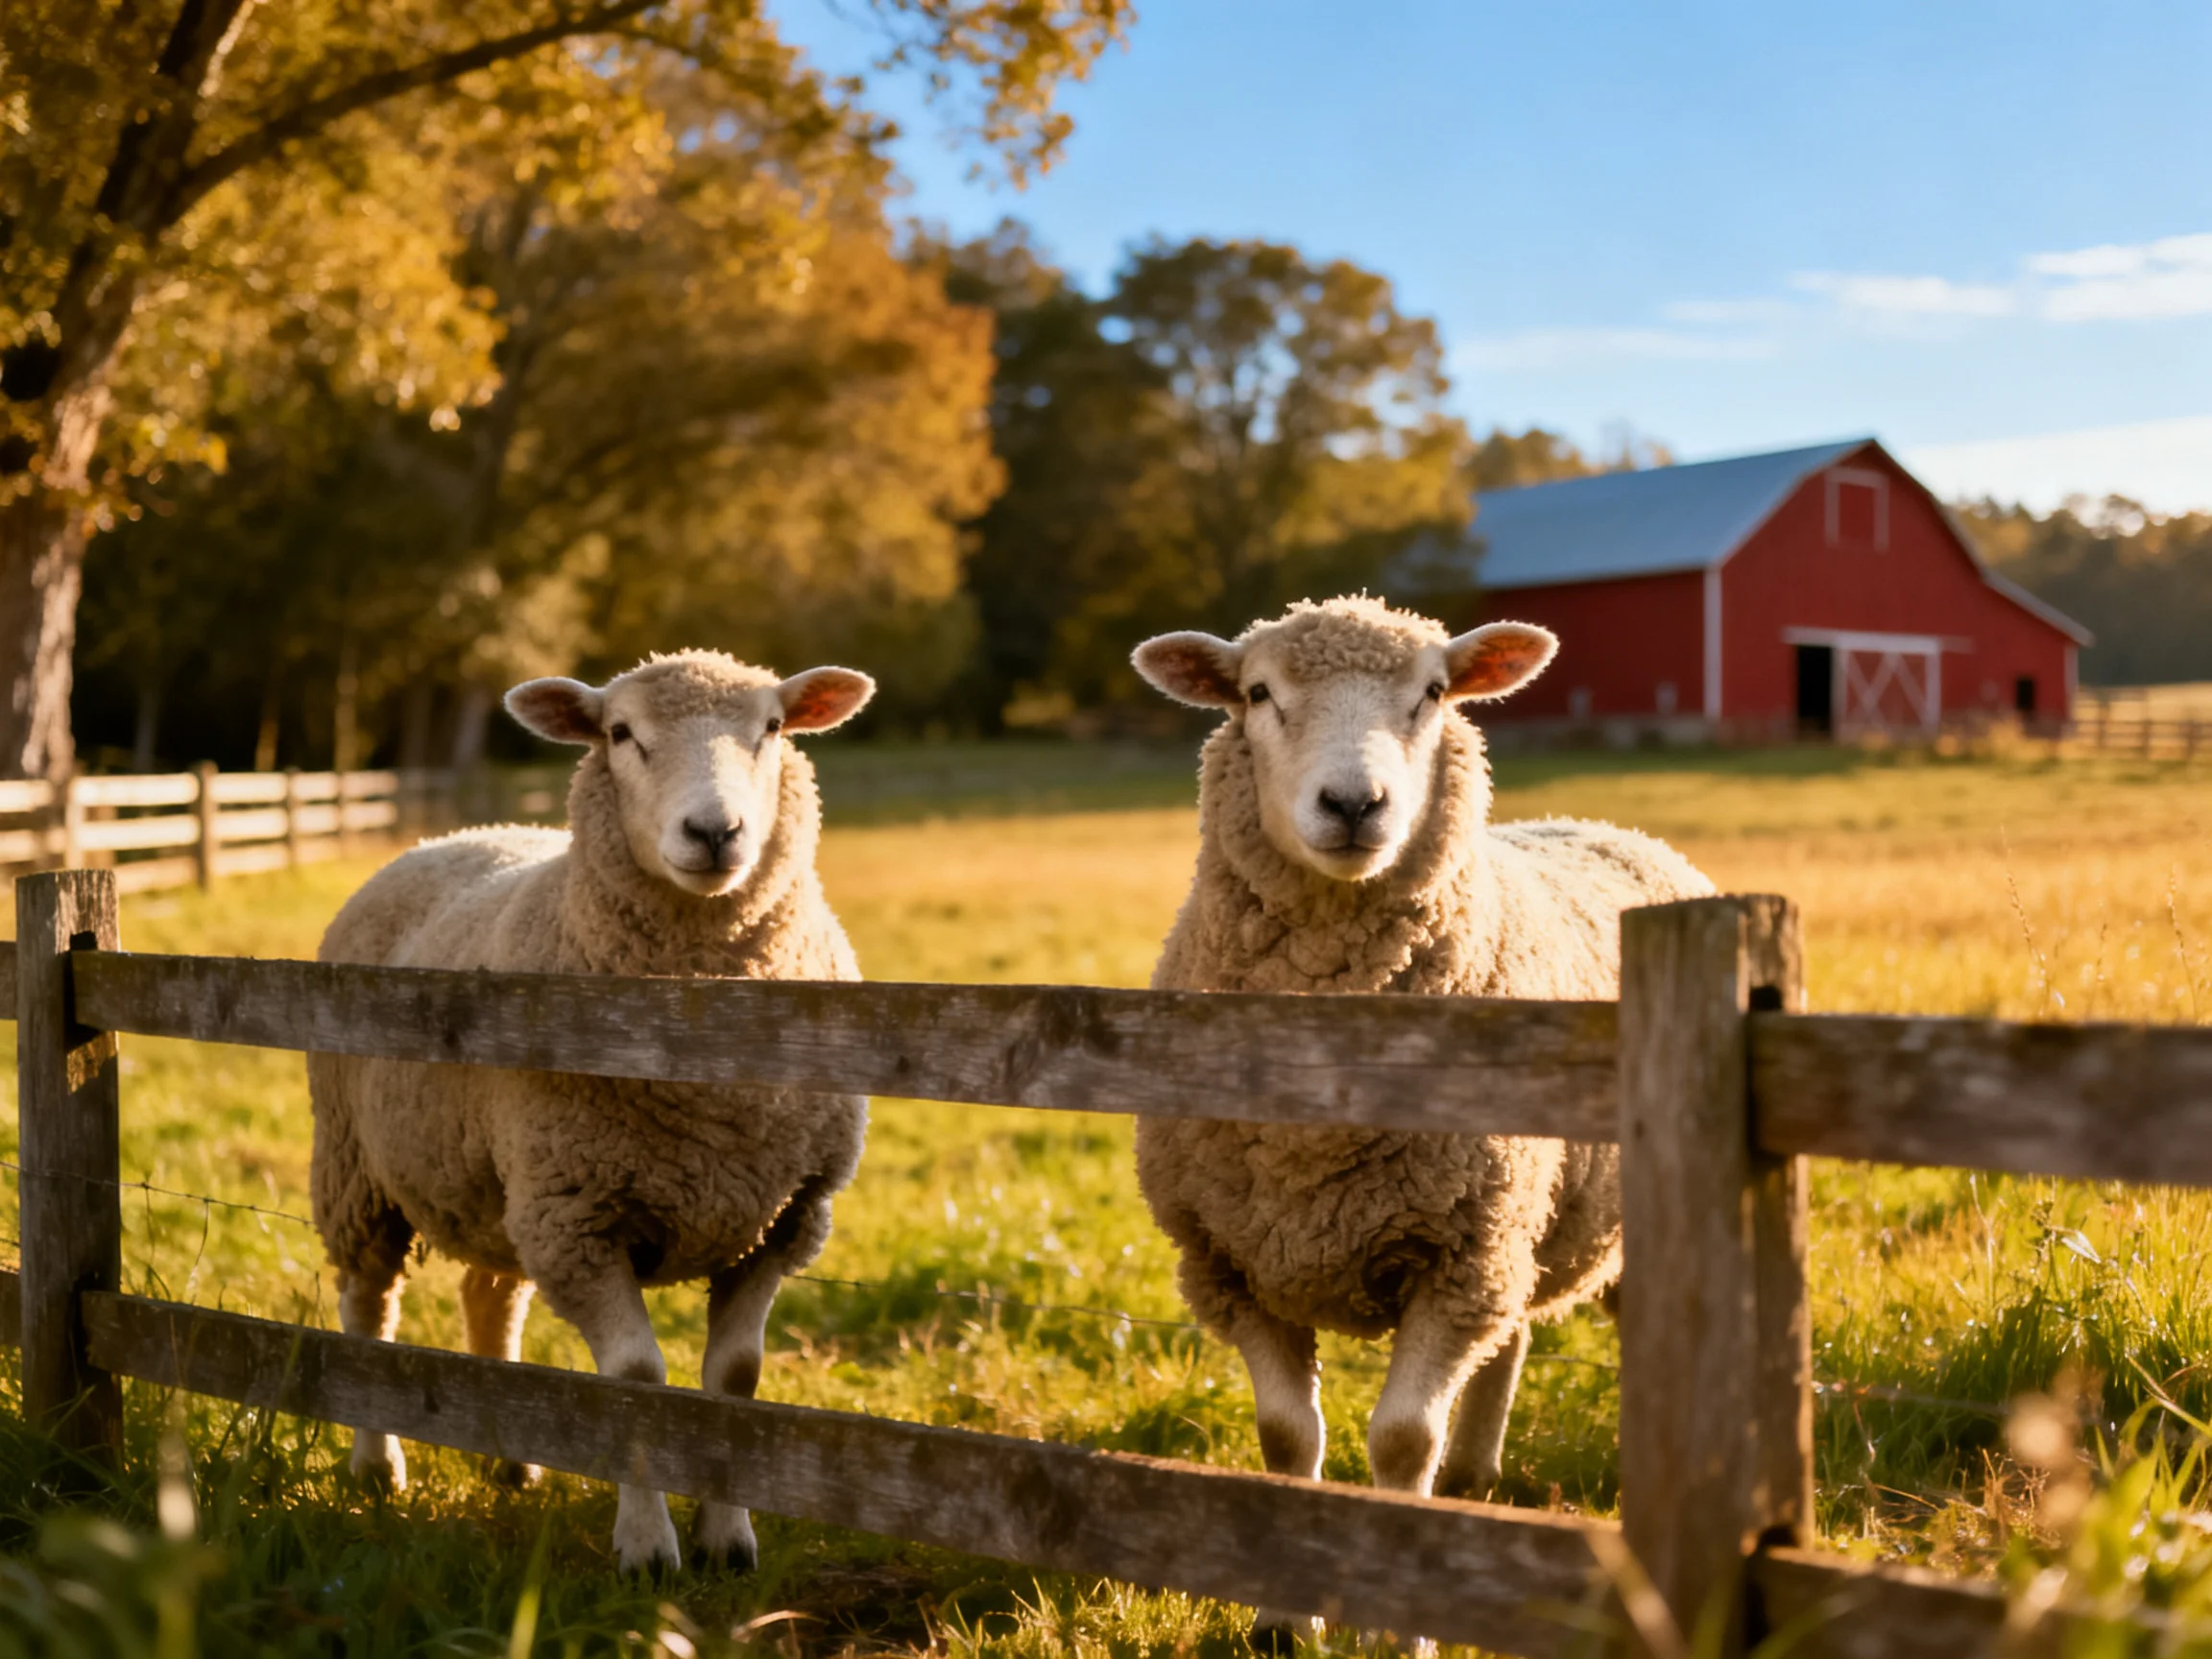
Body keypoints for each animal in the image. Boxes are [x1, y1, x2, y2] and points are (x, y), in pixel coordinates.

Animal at [308, 650, 875, 1576]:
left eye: (772, 728)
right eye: (619, 734)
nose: (714, 833)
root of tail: (444, 838)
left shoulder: (778, 1219)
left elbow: (737, 1377)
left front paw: (728, 1541)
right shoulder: (581, 1220)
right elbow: (637, 1380)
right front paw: (647, 1551)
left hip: (503, 1185)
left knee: (489, 1297)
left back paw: (513, 1464)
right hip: (362, 1170)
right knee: (368, 1306)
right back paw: (375, 1466)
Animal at [1129, 596, 1712, 1641]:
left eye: (1434, 693)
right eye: (1258, 694)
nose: (1355, 805)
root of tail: (1609, 826)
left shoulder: (1456, 1261)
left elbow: (1402, 1442)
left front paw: (1398, 1624)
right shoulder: (1234, 1265)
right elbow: (1286, 1438)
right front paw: (1284, 1623)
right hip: (1520, 1218)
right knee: (1510, 1336)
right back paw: (1476, 1478)